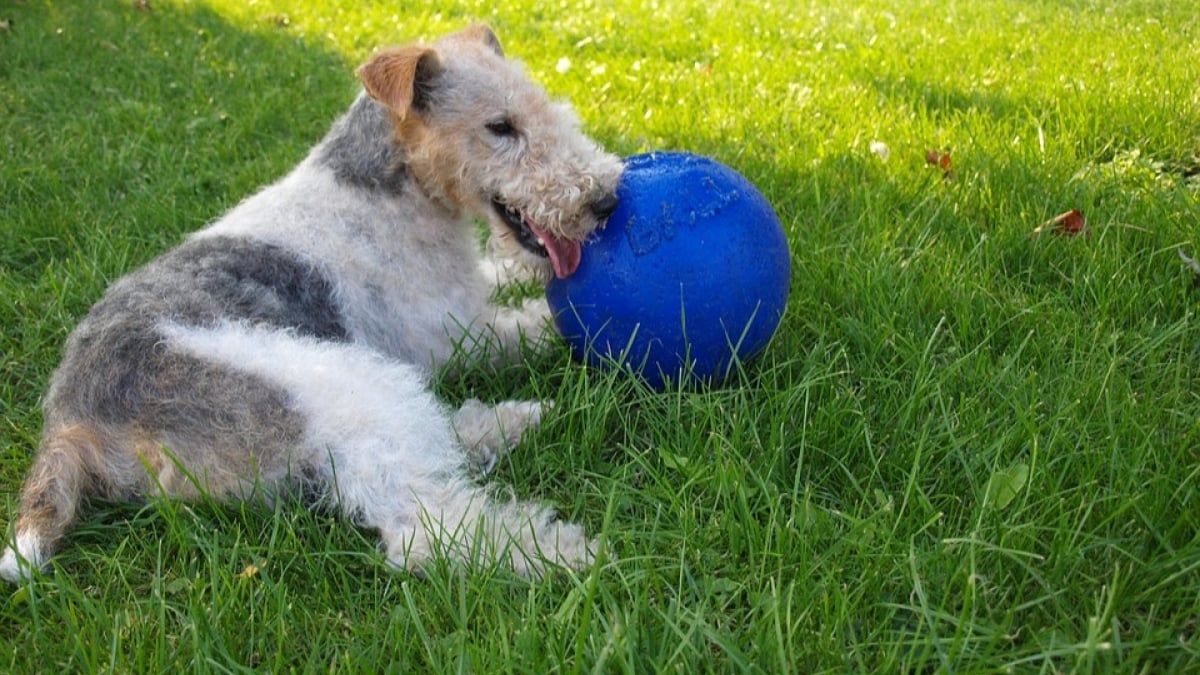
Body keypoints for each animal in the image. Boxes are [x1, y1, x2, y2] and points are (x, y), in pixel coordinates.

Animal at [0, 26, 619, 581]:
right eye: (500, 126)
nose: (605, 200)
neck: (388, 187)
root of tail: (70, 419)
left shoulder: (467, 293)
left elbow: (505, 277)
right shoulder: (455, 333)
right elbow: (540, 323)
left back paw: (512, 422)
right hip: (335, 382)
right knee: (423, 528)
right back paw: (567, 553)